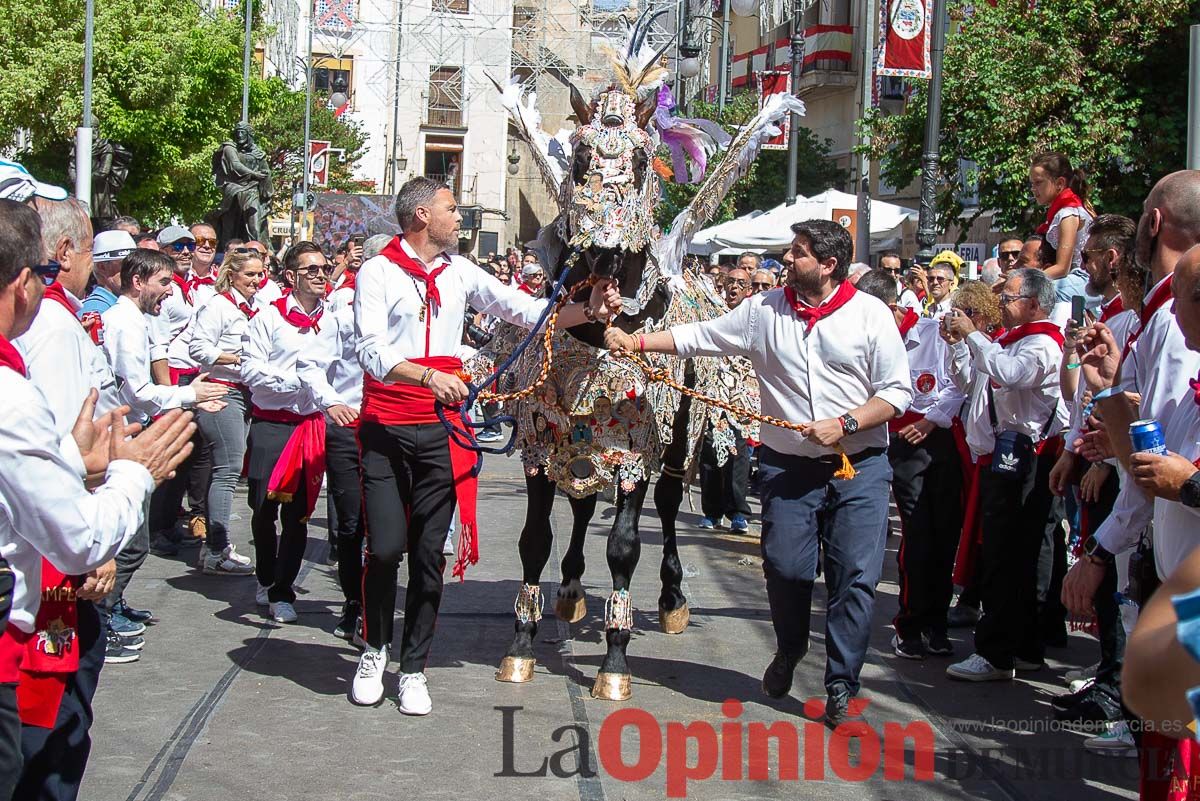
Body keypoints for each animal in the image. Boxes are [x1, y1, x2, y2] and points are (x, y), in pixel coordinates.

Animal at [472, 14, 801, 700]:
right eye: (577, 157)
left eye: (645, 159)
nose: (600, 249)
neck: (600, 339)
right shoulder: (543, 442)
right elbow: (535, 539)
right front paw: (521, 644)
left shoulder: (634, 453)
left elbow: (624, 545)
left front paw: (615, 660)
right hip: (584, 441)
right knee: (580, 504)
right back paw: (570, 590)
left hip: (676, 443)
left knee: (670, 508)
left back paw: (672, 598)